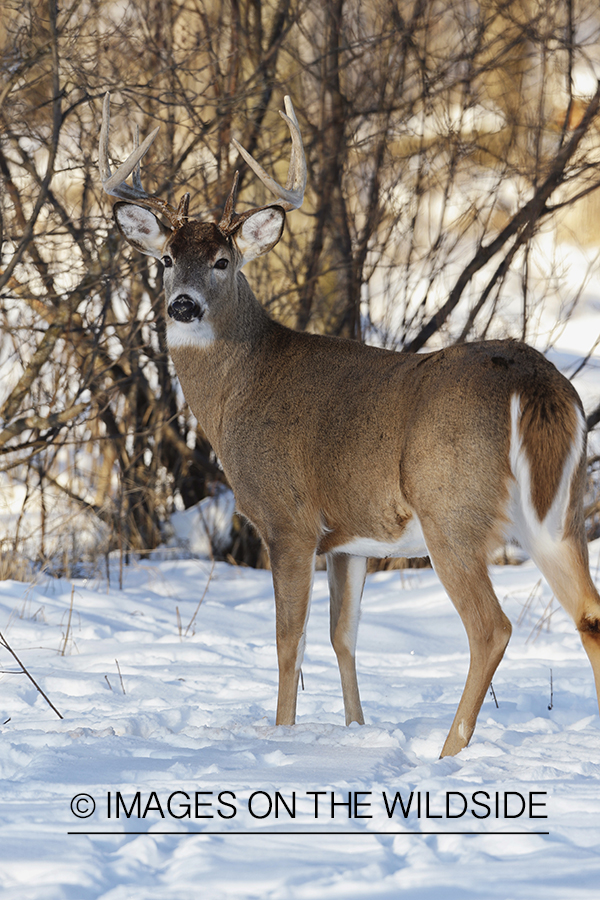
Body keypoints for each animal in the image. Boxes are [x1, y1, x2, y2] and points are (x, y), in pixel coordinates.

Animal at [99, 91, 600, 756]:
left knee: (491, 628)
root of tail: (535, 382)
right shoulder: (350, 539)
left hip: (452, 511)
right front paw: (356, 730)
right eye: (164, 259)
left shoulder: (288, 517)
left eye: (223, 261)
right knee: (590, 614)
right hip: (562, 508)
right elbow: (344, 636)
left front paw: (283, 734)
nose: (183, 305)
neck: (240, 388)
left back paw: (447, 754)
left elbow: (289, 640)